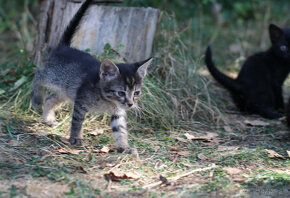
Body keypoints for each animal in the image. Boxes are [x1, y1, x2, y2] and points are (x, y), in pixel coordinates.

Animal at [31, 0, 153, 153]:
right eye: (121, 92)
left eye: (136, 93)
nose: (130, 104)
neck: (106, 99)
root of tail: (64, 47)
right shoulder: (80, 102)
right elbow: (77, 121)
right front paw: (76, 138)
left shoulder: (117, 111)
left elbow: (120, 129)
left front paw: (124, 147)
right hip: (53, 76)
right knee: (38, 74)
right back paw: (36, 100)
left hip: (67, 90)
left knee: (50, 98)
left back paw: (48, 118)